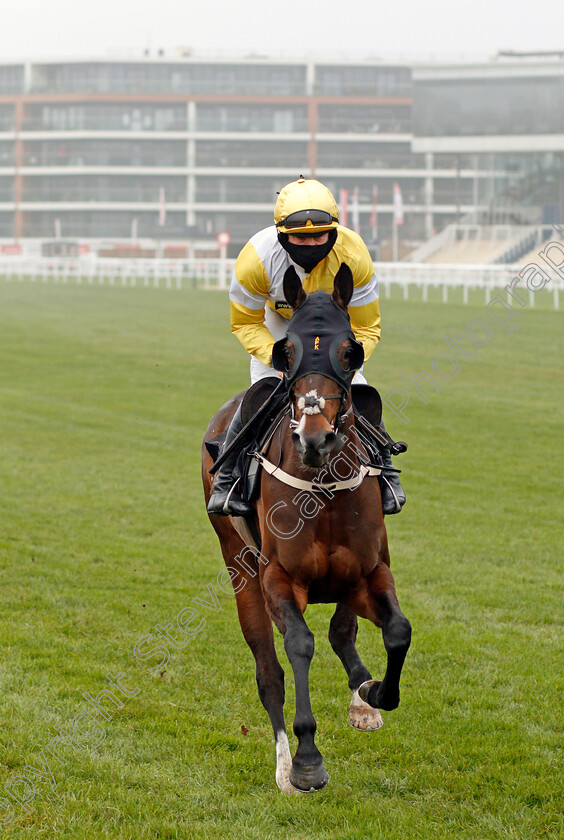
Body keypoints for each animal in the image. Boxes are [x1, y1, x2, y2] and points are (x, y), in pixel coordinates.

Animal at [202, 268, 410, 796]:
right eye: (287, 352)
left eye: (349, 350)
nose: (314, 439)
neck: (323, 487)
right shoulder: (279, 578)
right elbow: (298, 645)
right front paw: (307, 762)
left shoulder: (370, 571)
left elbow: (396, 631)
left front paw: (373, 692)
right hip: (239, 568)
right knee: (268, 671)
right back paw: (282, 767)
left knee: (342, 631)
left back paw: (361, 697)